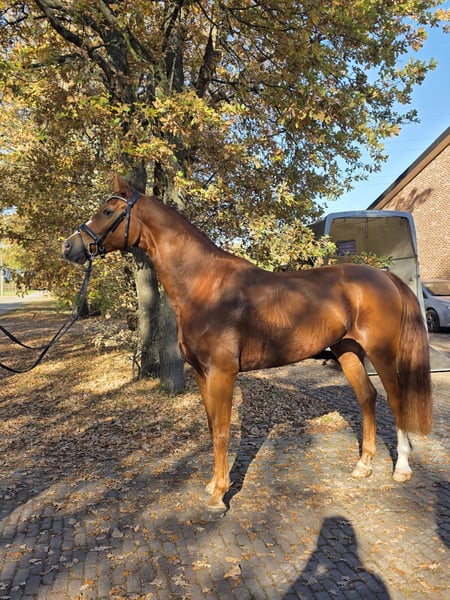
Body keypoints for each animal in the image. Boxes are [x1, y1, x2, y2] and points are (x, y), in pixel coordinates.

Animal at [62, 175, 432, 511]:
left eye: (107, 210)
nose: (69, 247)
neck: (204, 286)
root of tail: (384, 276)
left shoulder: (222, 373)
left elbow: (224, 431)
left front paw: (218, 496)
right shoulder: (201, 373)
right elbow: (213, 427)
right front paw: (213, 483)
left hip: (381, 353)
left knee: (396, 401)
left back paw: (401, 468)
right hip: (347, 351)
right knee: (367, 398)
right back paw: (363, 466)